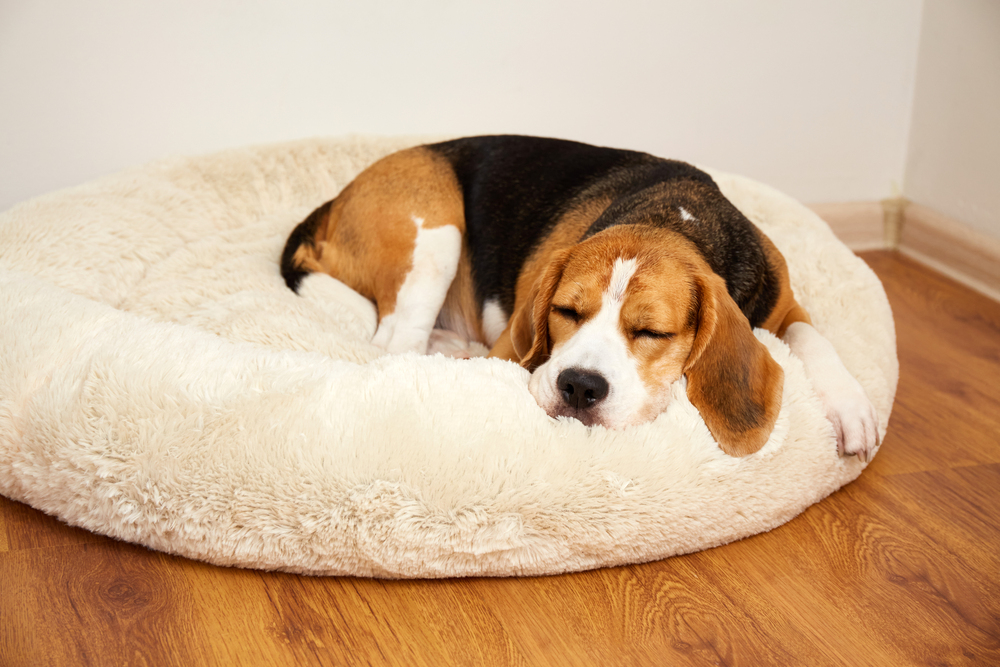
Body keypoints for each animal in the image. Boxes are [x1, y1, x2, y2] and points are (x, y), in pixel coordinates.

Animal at [280, 136, 876, 460]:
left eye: (651, 332)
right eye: (565, 311)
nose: (580, 387)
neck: (670, 219)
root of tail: (336, 200)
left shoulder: (784, 301)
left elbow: (812, 336)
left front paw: (852, 406)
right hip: (433, 234)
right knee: (394, 345)